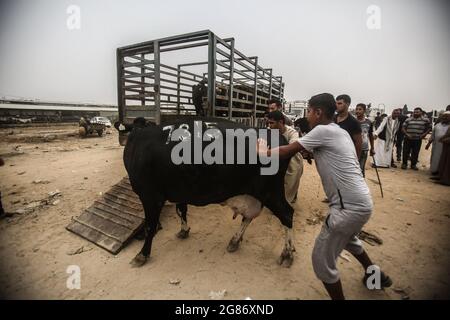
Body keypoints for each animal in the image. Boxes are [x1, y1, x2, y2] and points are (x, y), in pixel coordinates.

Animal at [119, 117, 296, 268]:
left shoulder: (150, 195)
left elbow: (150, 225)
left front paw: (142, 254)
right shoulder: (180, 189)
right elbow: (181, 210)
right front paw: (184, 231)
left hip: (270, 192)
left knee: (287, 214)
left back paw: (287, 254)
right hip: (255, 194)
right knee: (248, 217)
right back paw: (234, 241)